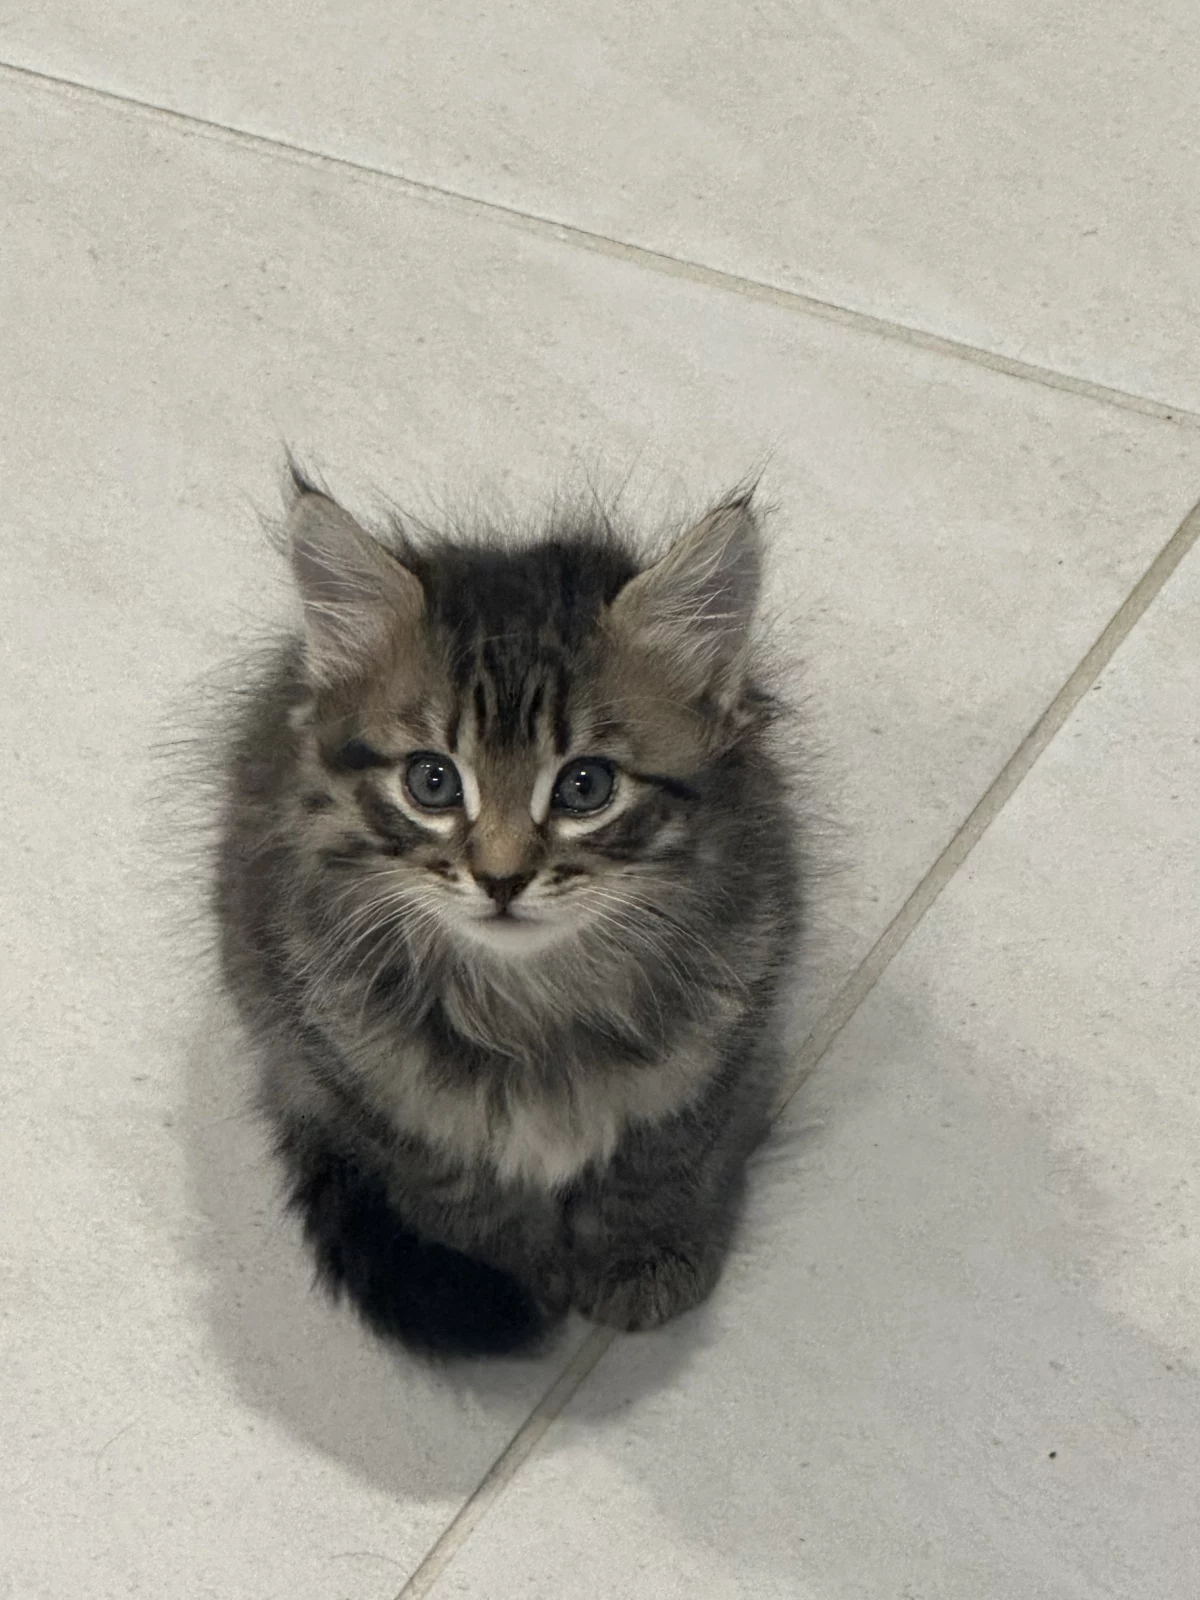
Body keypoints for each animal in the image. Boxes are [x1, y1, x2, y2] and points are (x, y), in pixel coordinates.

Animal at [213, 466, 801, 1357]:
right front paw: (525, 1279)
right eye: (432, 782)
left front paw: (640, 1258)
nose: (500, 878)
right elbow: (465, 1200)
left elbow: (659, 1163)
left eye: (586, 787)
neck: (530, 1005)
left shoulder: (727, 1024)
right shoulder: (363, 1080)